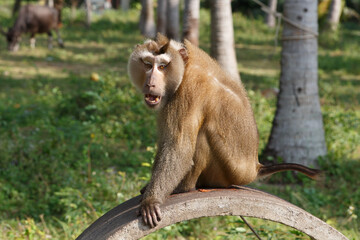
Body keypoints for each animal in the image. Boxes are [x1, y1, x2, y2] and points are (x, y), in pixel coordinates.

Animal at [126, 33, 320, 227]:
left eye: (162, 66)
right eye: (148, 64)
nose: (150, 83)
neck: (185, 68)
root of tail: (254, 168)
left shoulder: (189, 90)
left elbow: (178, 148)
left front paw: (152, 200)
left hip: (227, 173)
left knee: (202, 135)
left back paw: (184, 187)